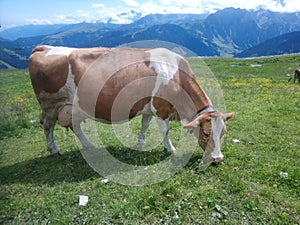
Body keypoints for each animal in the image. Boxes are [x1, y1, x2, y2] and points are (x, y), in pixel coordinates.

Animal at [28, 44, 234, 163]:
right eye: (206, 133)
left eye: (223, 132)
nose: (218, 158)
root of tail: (42, 47)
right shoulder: (161, 108)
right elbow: (165, 130)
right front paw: (170, 148)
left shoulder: (148, 108)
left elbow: (144, 125)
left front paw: (139, 143)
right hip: (50, 105)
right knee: (47, 126)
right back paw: (54, 150)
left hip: (73, 107)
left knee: (75, 126)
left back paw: (88, 145)